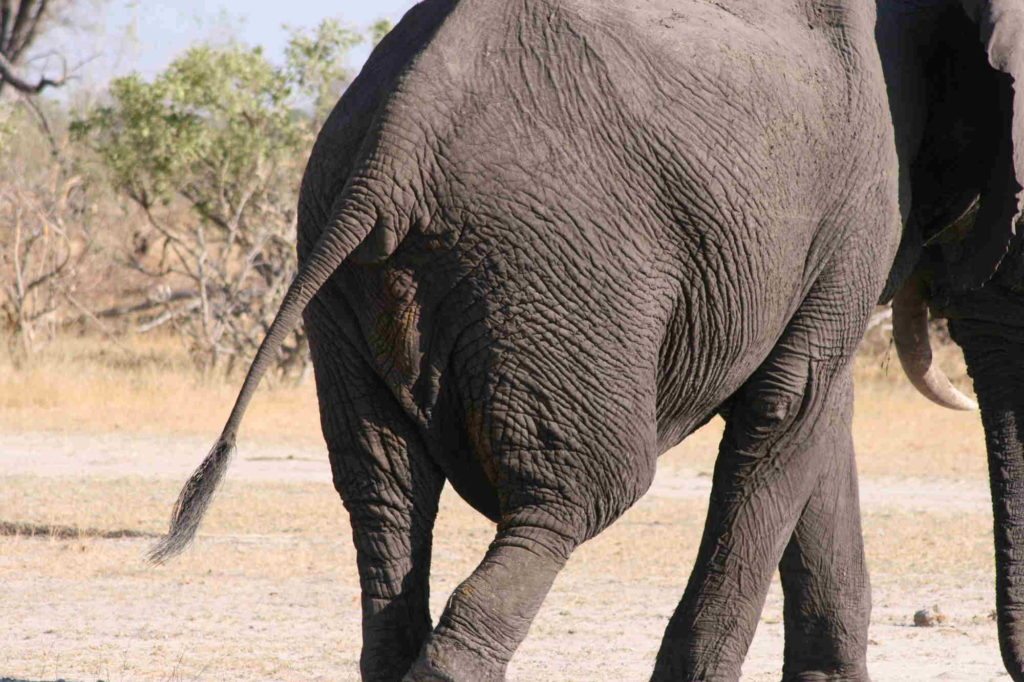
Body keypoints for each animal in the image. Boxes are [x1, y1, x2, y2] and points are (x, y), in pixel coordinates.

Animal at [147, 0, 1024, 680]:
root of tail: (393, 146)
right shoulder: (864, 186)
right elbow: (793, 407)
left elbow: (814, 425)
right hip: (558, 269)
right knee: (580, 492)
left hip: (348, 282)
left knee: (387, 504)